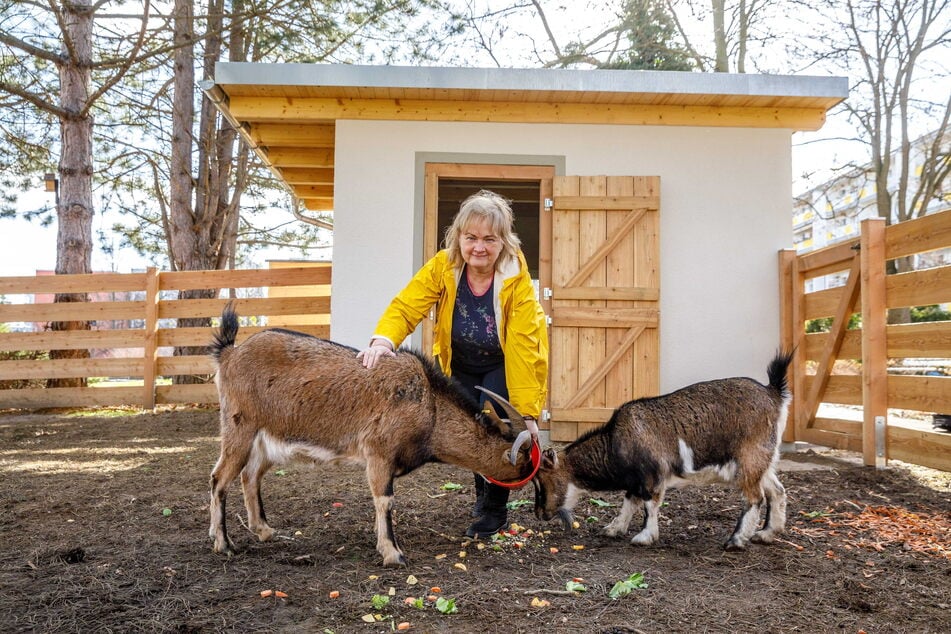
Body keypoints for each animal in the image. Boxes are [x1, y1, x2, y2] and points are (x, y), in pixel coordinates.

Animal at [210, 304, 536, 564]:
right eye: (525, 463)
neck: (429, 404)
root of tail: (230, 354)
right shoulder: (379, 453)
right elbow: (385, 500)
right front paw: (393, 553)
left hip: (266, 440)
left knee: (250, 475)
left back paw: (263, 531)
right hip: (239, 427)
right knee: (219, 478)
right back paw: (224, 544)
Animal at [532, 350, 792, 548]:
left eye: (542, 482)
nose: (539, 514)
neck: (617, 441)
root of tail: (773, 393)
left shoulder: (651, 475)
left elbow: (649, 504)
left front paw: (644, 537)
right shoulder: (635, 480)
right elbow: (629, 502)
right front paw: (614, 529)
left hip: (749, 459)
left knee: (755, 497)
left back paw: (736, 540)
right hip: (764, 461)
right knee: (777, 491)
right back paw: (766, 534)